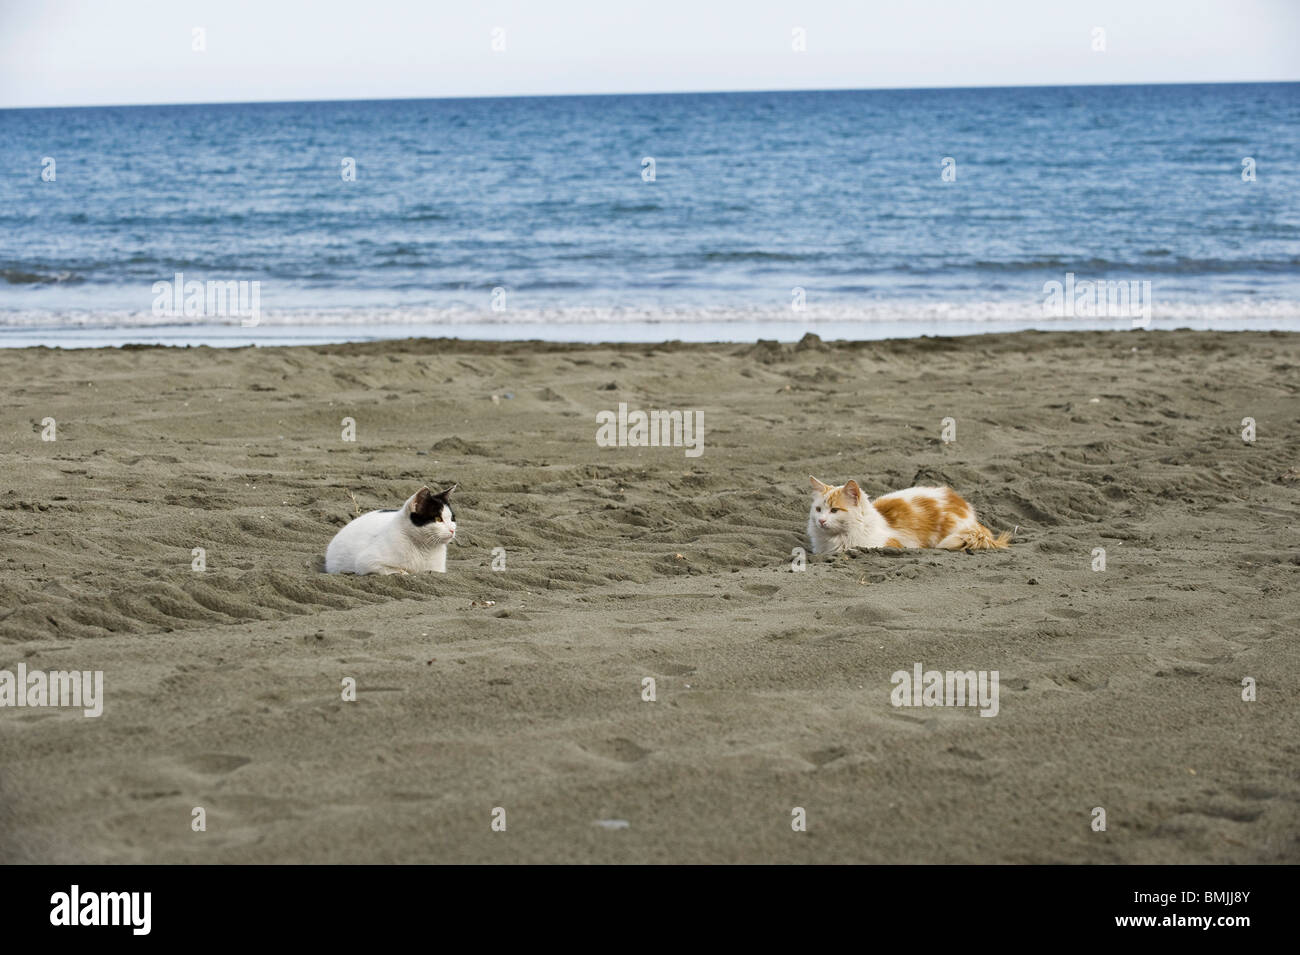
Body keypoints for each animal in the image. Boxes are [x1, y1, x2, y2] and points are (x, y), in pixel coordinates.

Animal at [323, 485, 457, 574]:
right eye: (438, 519)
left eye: (452, 519)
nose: (452, 530)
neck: (424, 548)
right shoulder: (367, 562)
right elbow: (397, 571)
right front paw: (405, 572)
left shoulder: (437, 570)